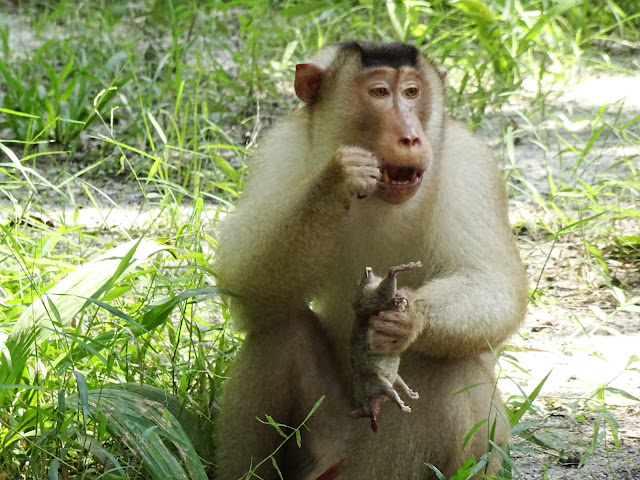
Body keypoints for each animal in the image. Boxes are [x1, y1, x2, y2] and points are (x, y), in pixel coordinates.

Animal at [350, 260, 420, 434]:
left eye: (365, 413)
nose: (373, 422)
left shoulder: (378, 386)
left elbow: (392, 392)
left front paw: (402, 404)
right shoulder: (387, 382)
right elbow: (398, 384)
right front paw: (408, 395)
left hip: (366, 299)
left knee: (377, 296)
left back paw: (396, 274)